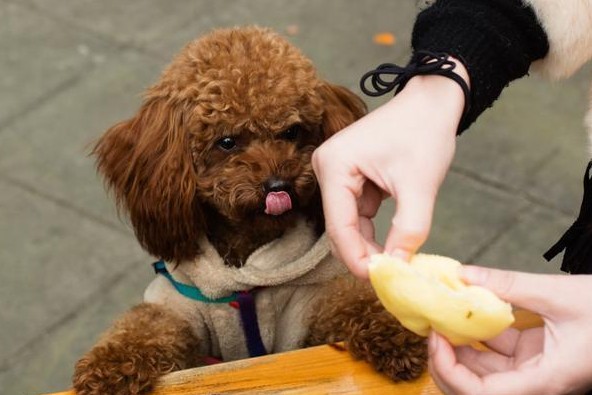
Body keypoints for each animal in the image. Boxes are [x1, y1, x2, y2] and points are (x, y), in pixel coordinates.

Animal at [73, 26, 426, 394]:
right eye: (227, 142)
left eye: (292, 131)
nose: (278, 185)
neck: (246, 266)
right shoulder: (179, 307)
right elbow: (145, 325)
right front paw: (109, 370)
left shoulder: (307, 308)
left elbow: (350, 300)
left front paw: (395, 332)